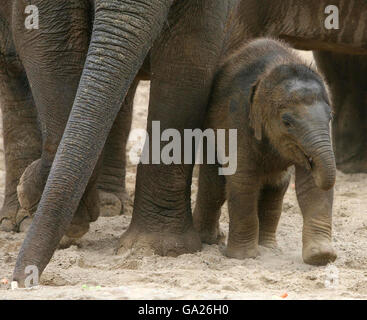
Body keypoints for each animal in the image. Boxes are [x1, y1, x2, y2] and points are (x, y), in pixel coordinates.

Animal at [194, 38, 338, 264]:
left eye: (330, 116)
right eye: (287, 122)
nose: (310, 160)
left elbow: (311, 185)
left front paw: (321, 256)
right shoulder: (237, 118)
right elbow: (243, 179)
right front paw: (243, 257)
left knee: (276, 188)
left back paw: (269, 247)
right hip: (210, 127)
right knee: (215, 186)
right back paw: (209, 240)